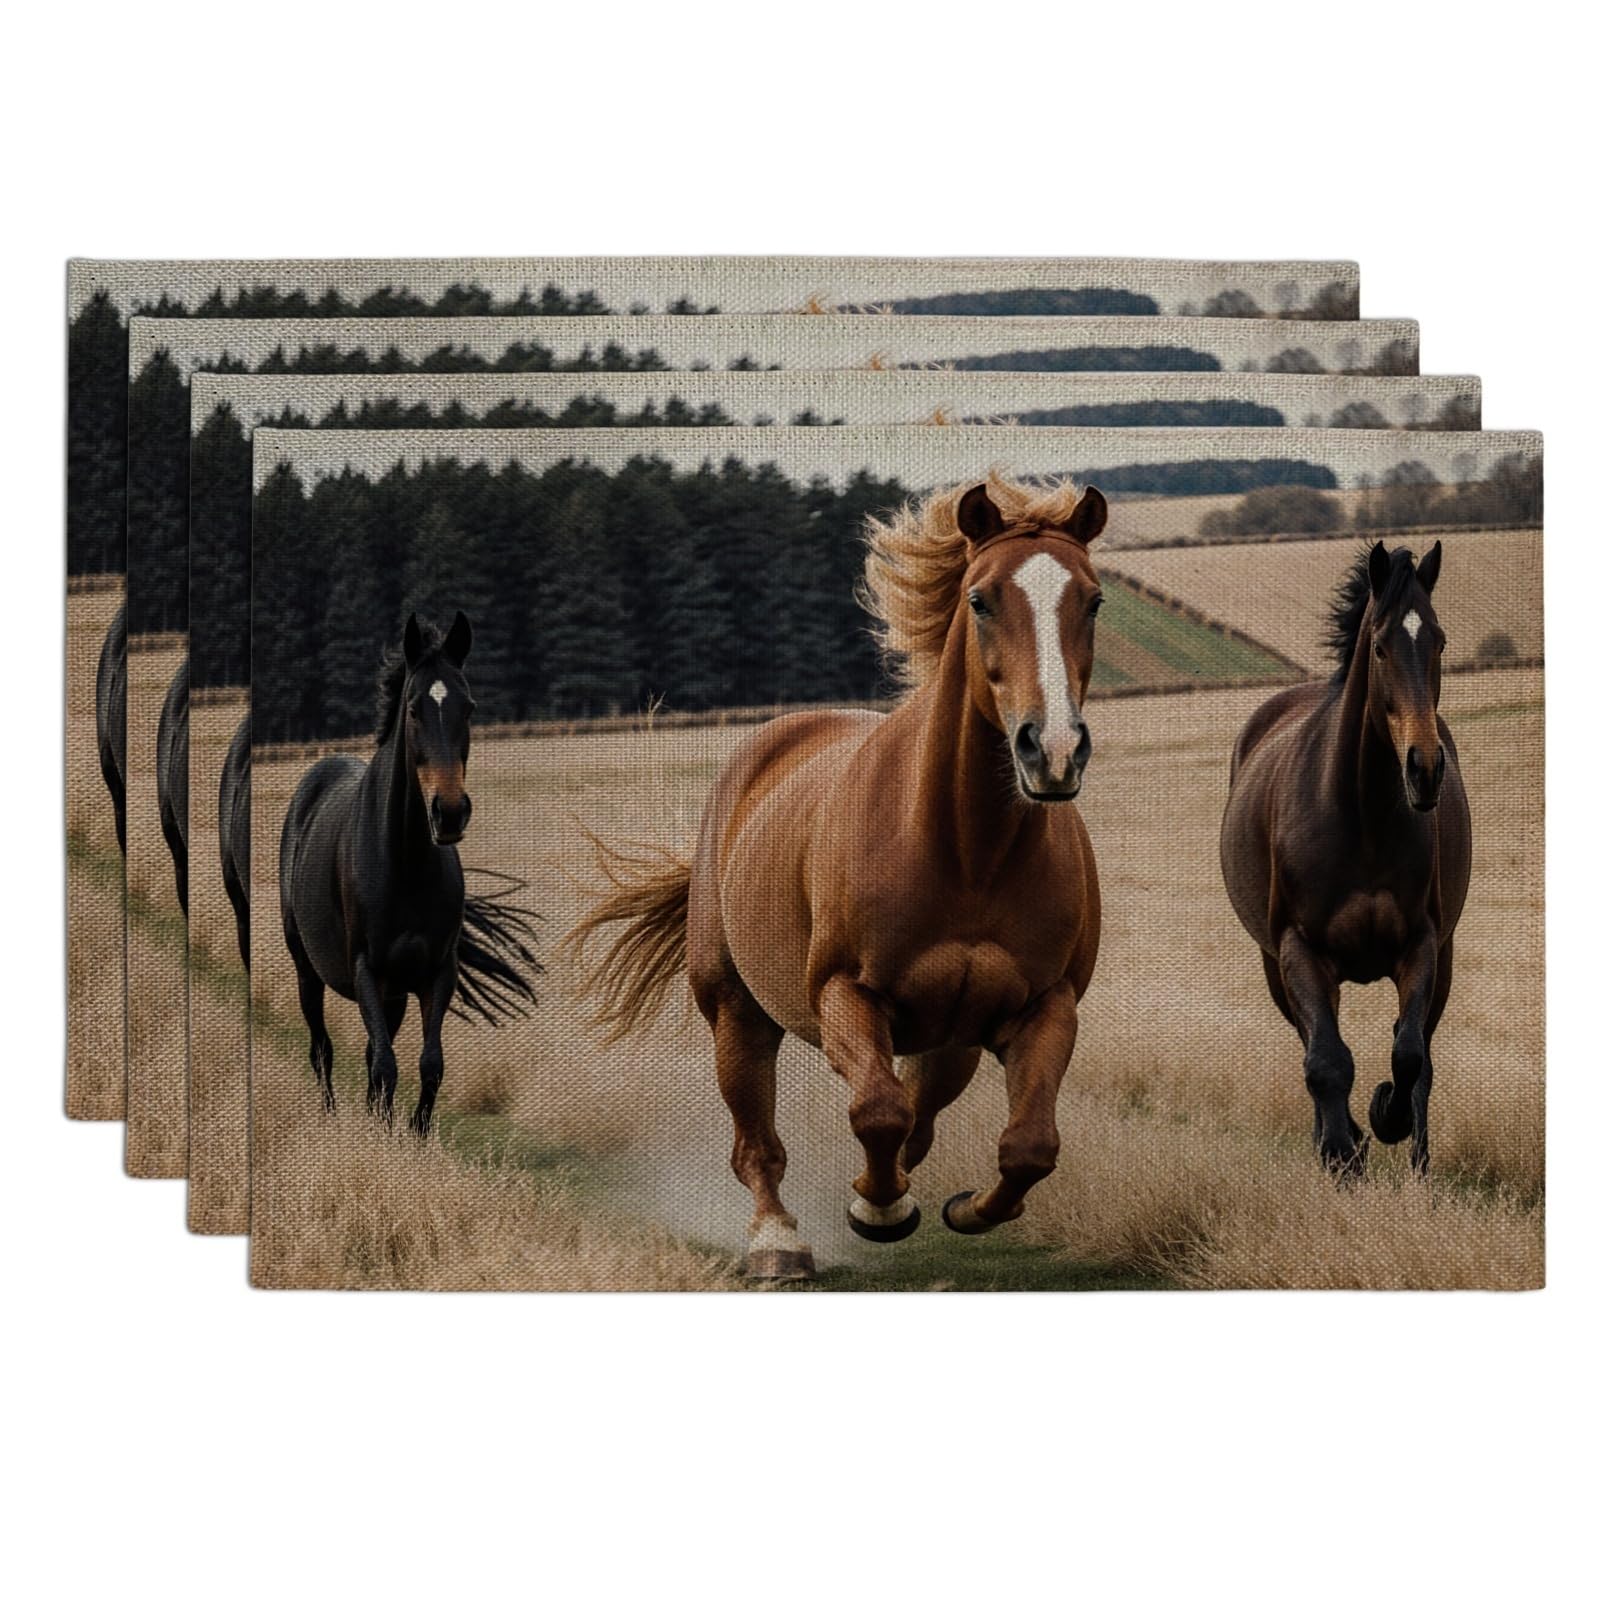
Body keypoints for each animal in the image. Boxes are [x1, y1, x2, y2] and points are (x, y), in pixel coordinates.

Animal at [278, 612, 540, 1136]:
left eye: (469, 706)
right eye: (415, 709)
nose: (450, 812)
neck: (405, 863)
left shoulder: (436, 972)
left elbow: (427, 1064)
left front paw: (413, 1133)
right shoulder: (366, 969)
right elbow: (385, 1066)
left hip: (394, 994)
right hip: (308, 969)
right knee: (323, 1049)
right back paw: (332, 1114)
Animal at [570, 474, 1106, 1280]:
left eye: (1093, 600)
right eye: (981, 599)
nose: (1054, 752)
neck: (966, 853)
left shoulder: (1046, 1005)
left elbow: (1029, 1146)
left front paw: (967, 1209)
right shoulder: (844, 993)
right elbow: (877, 1110)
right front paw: (877, 1210)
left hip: (952, 1038)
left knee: (925, 1111)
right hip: (736, 1010)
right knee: (758, 1140)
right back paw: (778, 1242)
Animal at [1219, 540, 1472, 1176]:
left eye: (1439, 640)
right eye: (1379, 646)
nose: (1424, 768)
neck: (1361, 814)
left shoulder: (1423, 944)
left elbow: (1408, 1055)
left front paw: (1385, 1117)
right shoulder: (1299, 950)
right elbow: (1326, 1061)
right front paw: (1342, 1152)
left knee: (1421, 1054)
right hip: (1278, 968)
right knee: (1315, 1048)